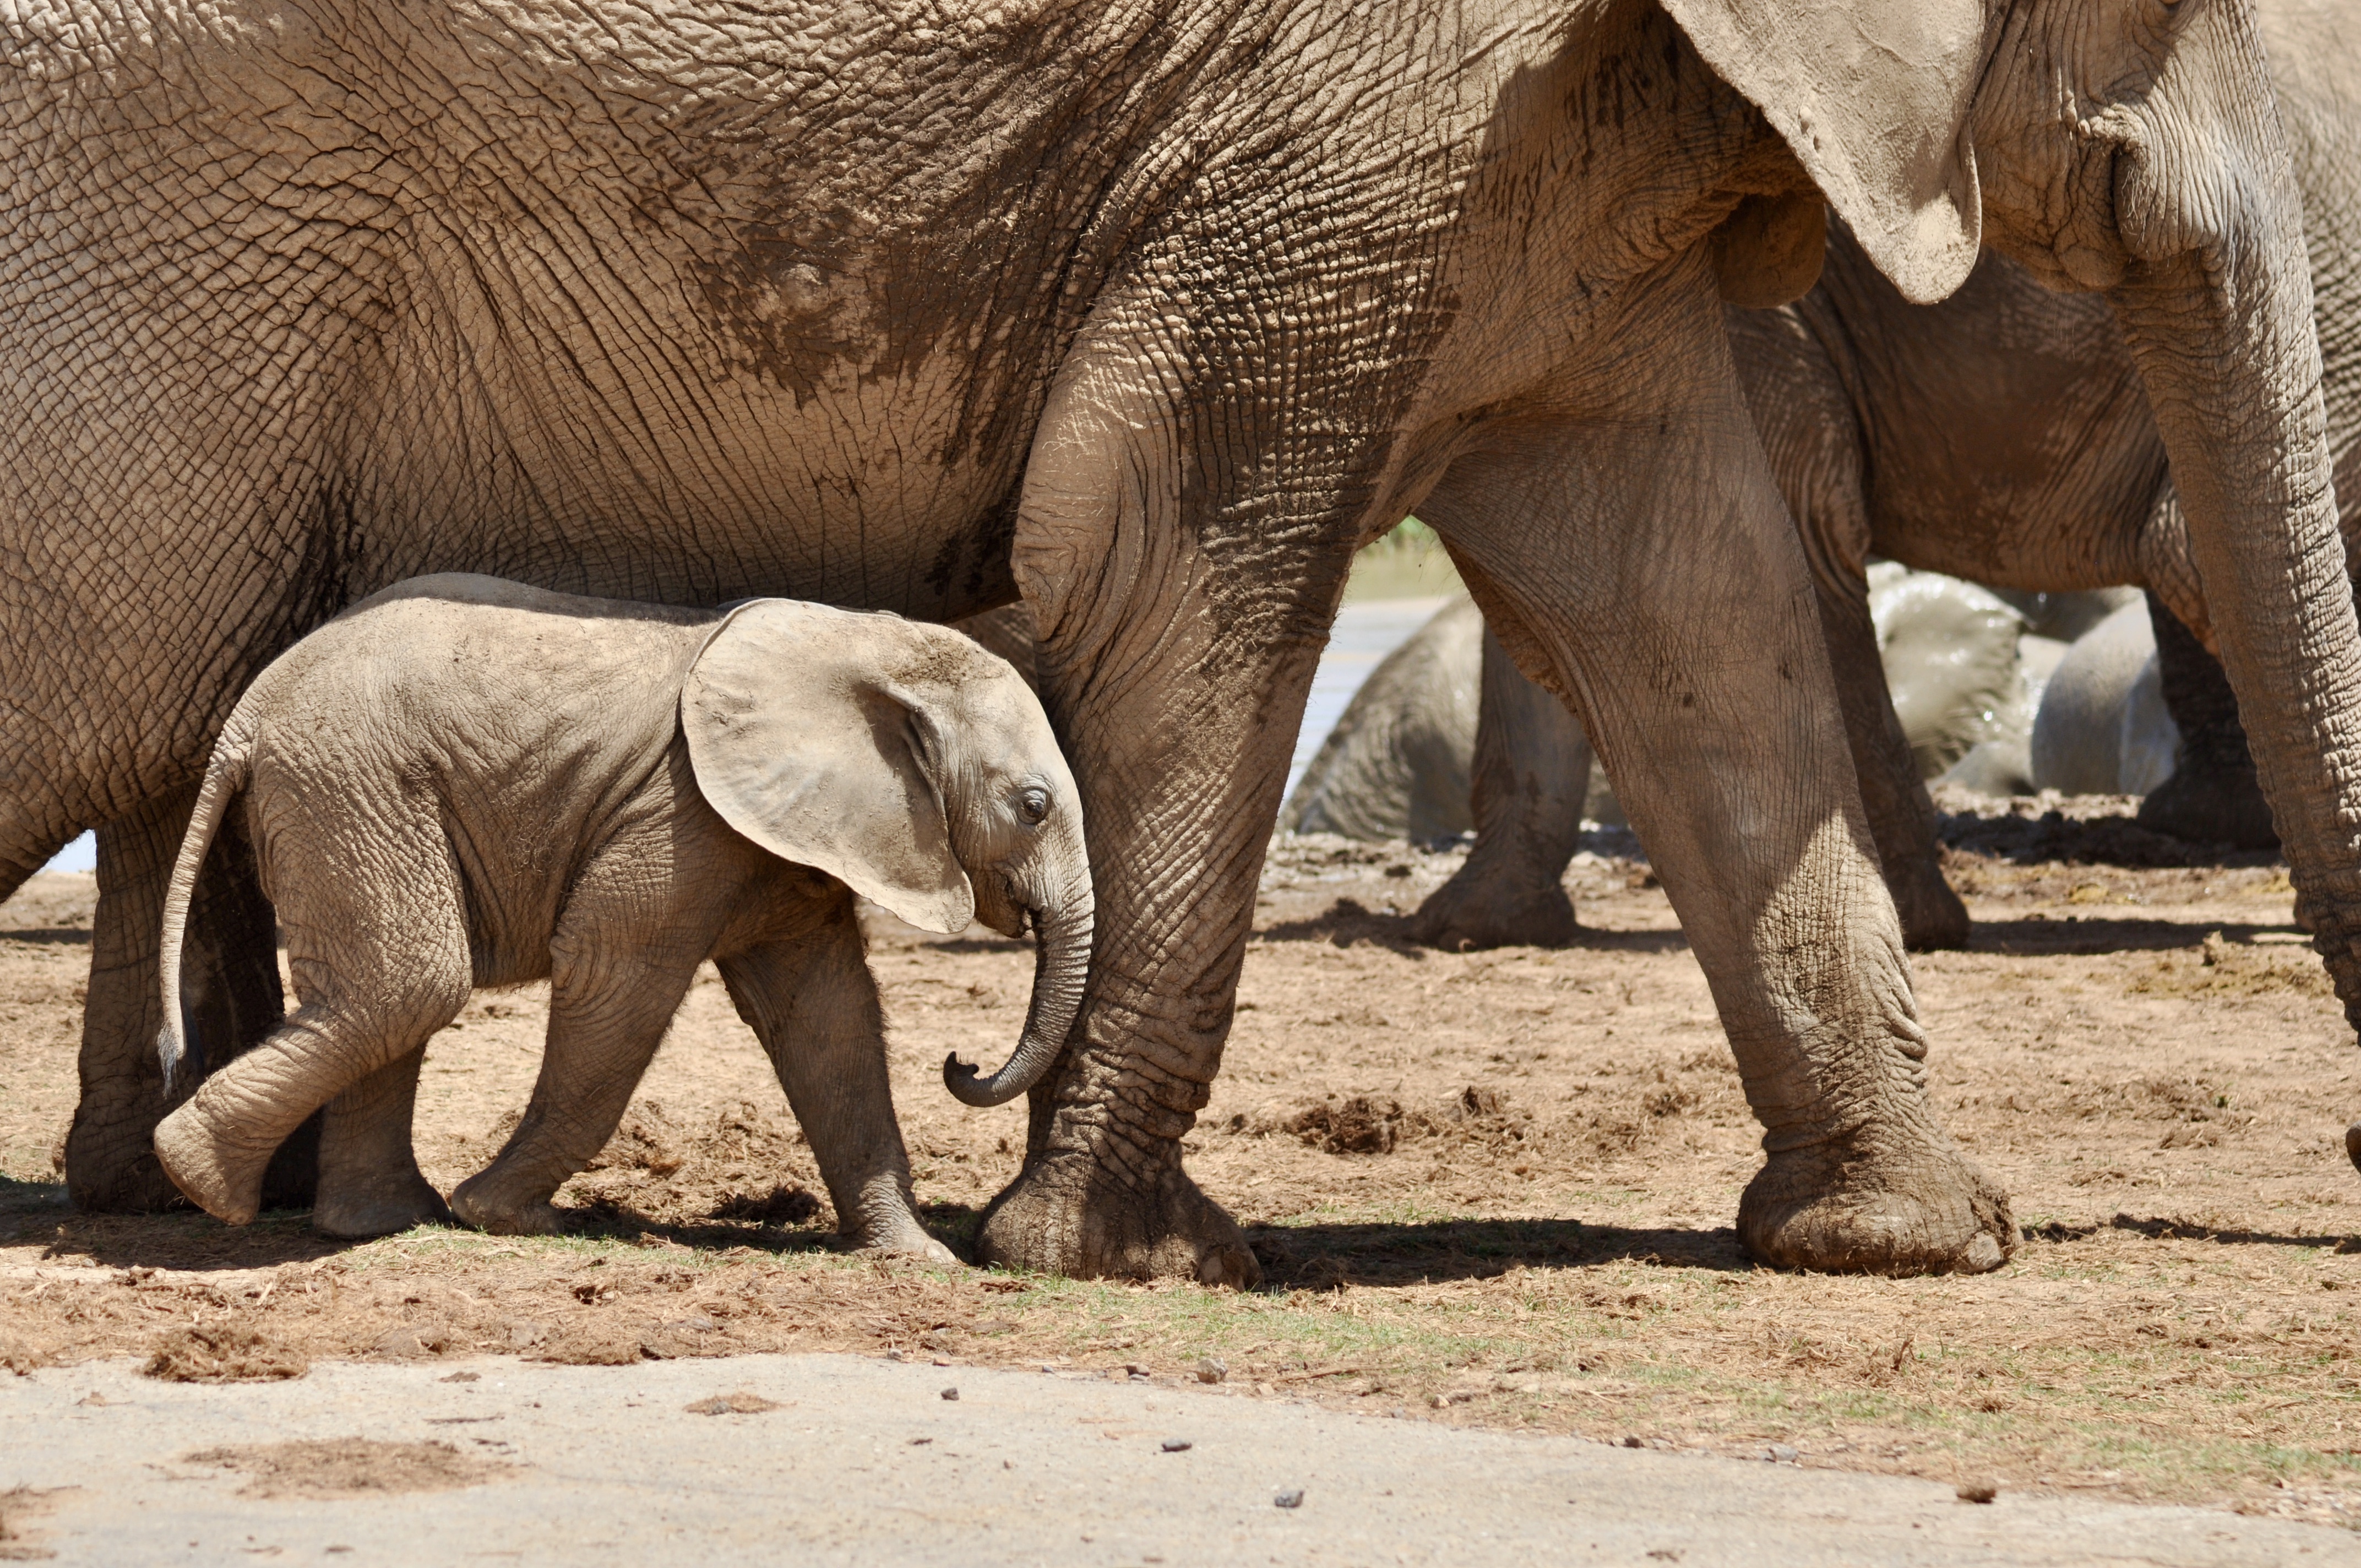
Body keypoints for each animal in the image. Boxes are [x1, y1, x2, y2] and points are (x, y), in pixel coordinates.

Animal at [149, 575, 1090, 1244]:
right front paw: (503, 1216)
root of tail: (249, 713)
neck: (876, 646)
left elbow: (828, 1016)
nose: (962, 1062)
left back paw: (373, 1222)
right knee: (410, 986)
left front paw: (915, 1260)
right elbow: (617, 979)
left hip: (346, 790)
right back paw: (199, 1180)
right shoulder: (679, 813)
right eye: (1033, 806)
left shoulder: (784, 834)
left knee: (386, 997)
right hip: (350, 784)